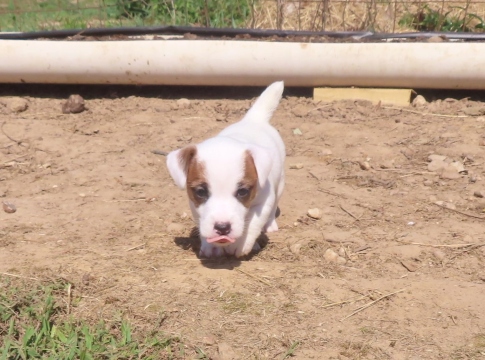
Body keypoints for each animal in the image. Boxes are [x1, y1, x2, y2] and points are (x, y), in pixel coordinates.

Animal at [166, 81, 284, 258]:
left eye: (243, 192)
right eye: (200, 192)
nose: (222, 228)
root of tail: (253, 120)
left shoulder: (264, 201)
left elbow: (253, 222)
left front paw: (242, 243)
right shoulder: (195, 206)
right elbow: (203, 221)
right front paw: (210, 246)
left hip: (280, 185)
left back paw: (270, 225)